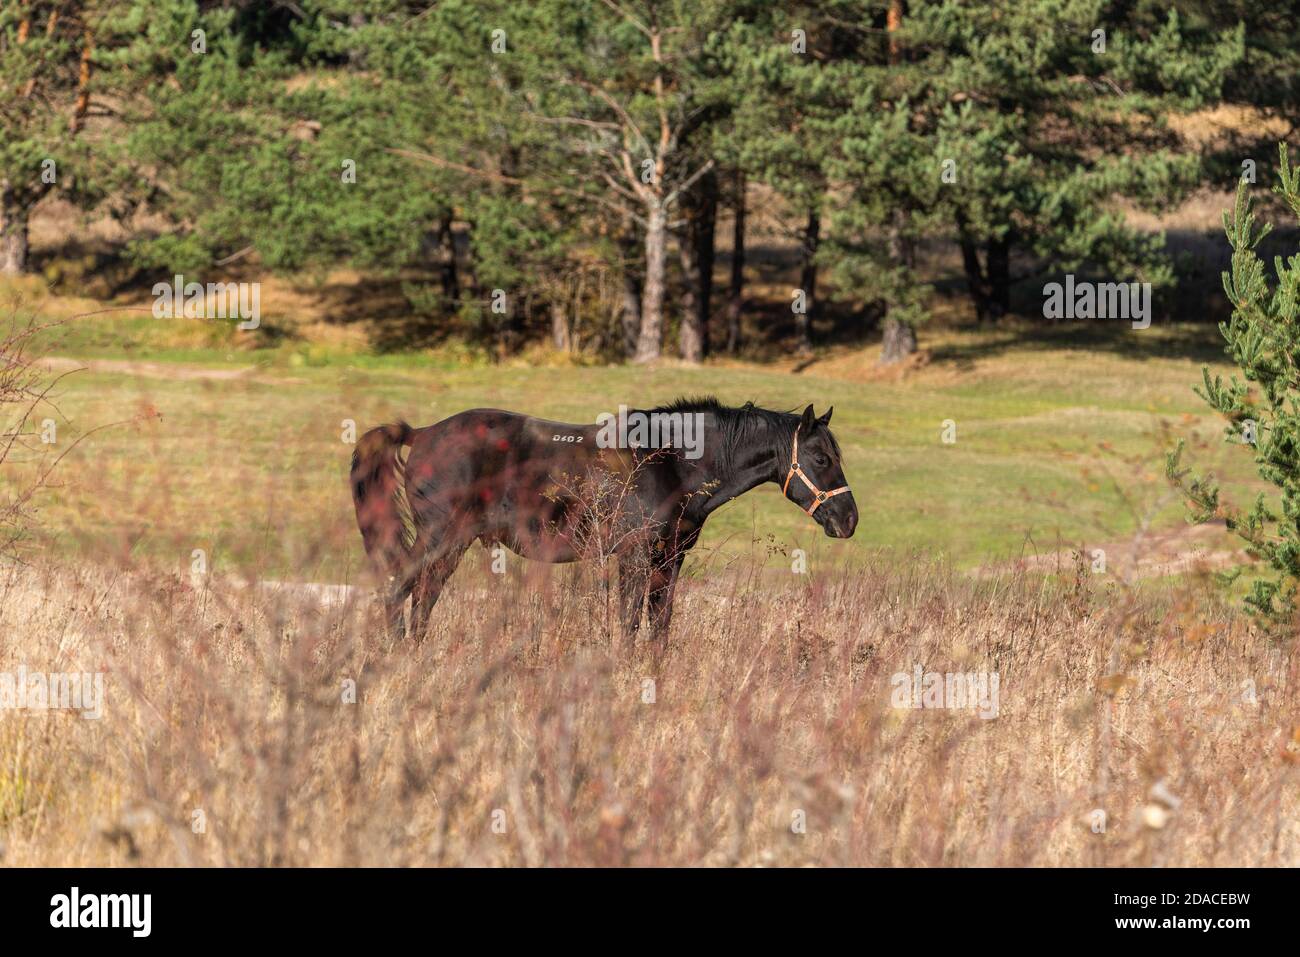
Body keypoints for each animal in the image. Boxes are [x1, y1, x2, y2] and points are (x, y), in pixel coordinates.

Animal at [348, 395, 852, 642]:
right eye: (821, 457)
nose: (849, 519)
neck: (670, 460)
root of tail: (422, 433)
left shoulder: (669, 561)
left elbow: (659, 625)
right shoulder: (634, 557)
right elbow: (629, 624)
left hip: (452, 545)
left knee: (423, 599)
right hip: (437, 538)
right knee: (398, 591)